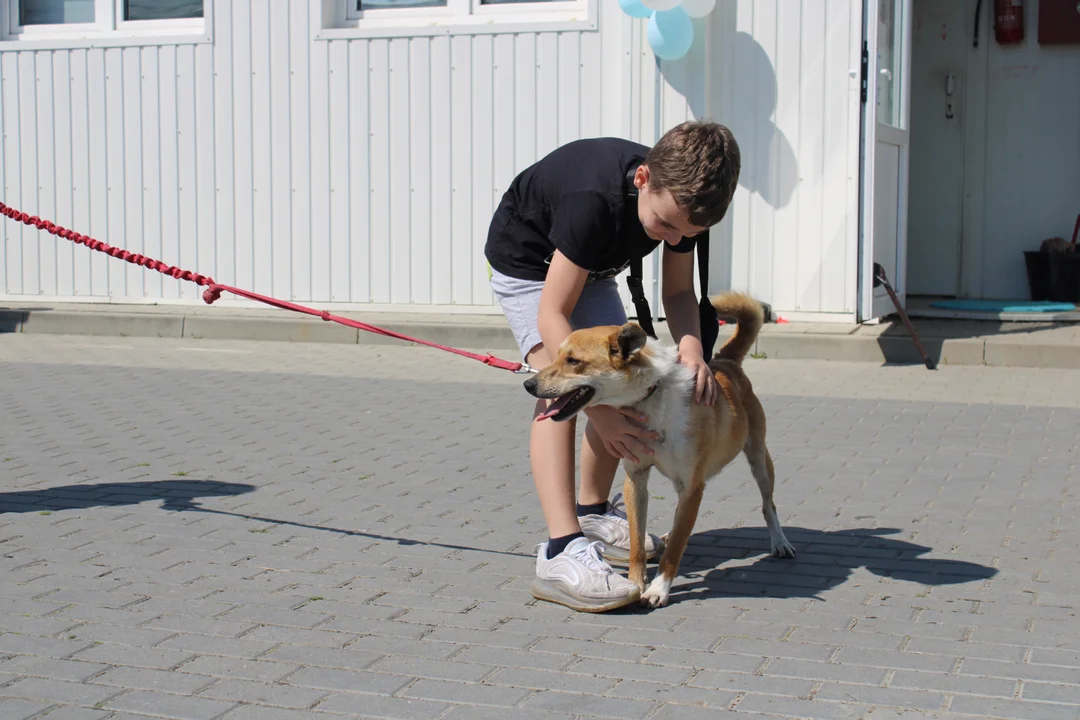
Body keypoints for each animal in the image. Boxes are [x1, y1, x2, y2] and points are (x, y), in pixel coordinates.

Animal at [522, 293, 794, 608]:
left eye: (574, 361)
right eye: (556, 356)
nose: (528, 383)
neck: (650, 398)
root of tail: (725, 362)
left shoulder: (691, 487)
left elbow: (675, 549)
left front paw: (658, 589)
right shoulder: (636, 480)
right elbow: (637, 544)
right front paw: (636, 582)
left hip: (759, 459)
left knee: (768, 504)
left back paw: (780, 542)